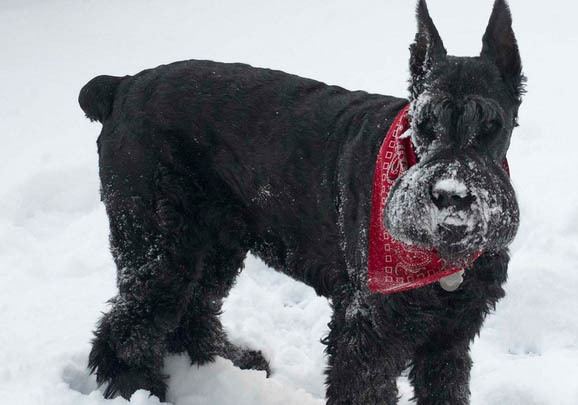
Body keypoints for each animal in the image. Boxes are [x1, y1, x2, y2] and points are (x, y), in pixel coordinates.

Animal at [79, 1, 524, 402]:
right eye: (423, 123)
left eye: (492, 125)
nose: (450, 196)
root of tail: (122, 86)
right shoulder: (367, 335)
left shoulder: (449, 336)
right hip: (158, 242)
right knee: (129, 325)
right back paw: (140, 389)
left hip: (213, 242)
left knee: (194, 308)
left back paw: (231, 358)